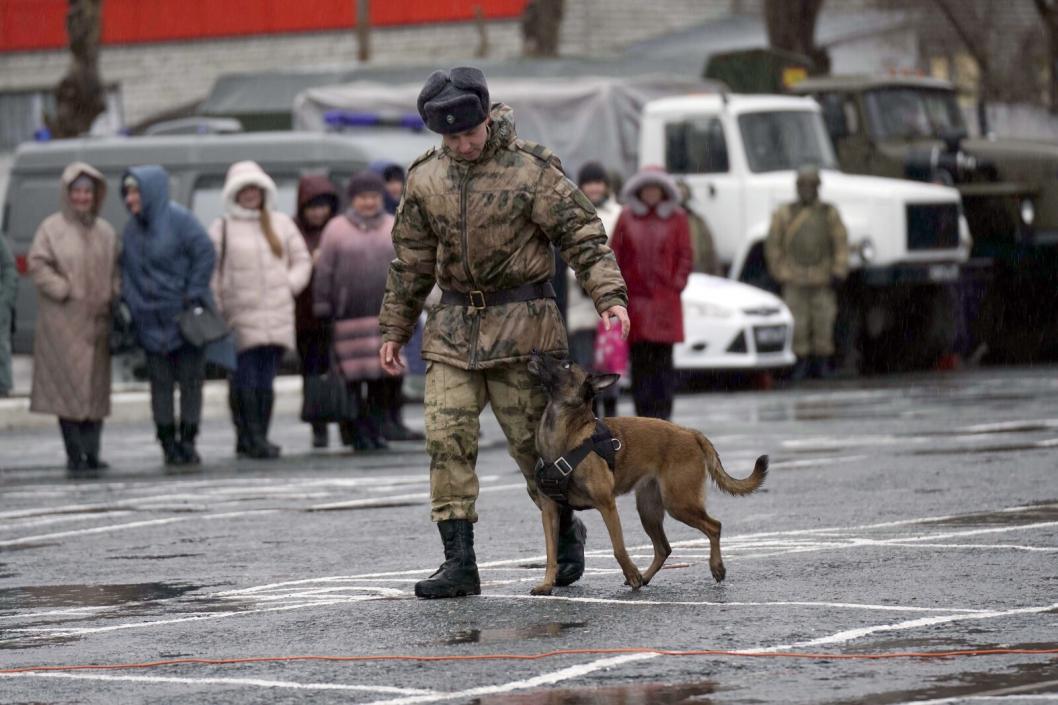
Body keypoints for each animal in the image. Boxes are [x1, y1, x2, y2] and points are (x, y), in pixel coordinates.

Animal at [526, 351, 761, 592]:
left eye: (566, 364)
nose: (535, 352)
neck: (567, 433)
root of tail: (689, 432)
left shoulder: (607, 505)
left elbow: (619, 548)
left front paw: (632, 574)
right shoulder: (550, 511)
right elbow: (551, 554)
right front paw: (547, 584)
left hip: (678, 504)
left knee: (714, 527)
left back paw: (716, 567)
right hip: (649, 510)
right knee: (664, 548)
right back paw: (647, 577)